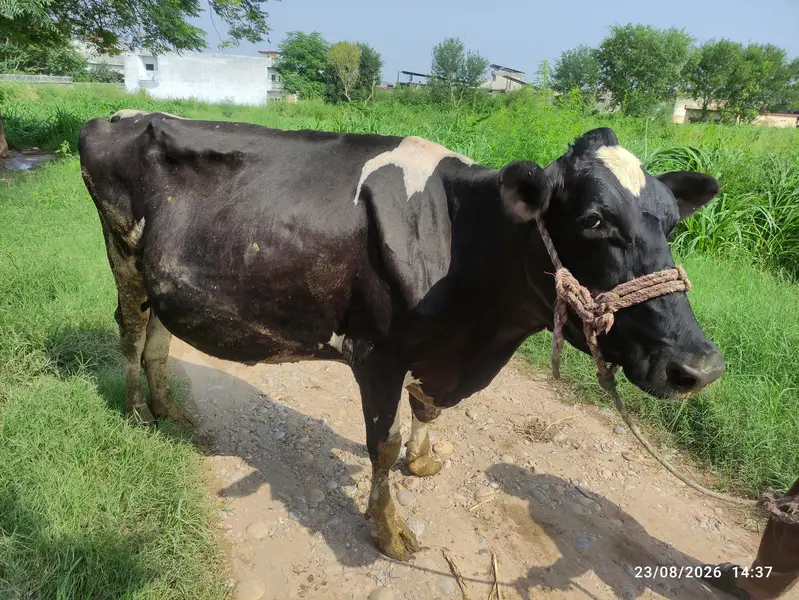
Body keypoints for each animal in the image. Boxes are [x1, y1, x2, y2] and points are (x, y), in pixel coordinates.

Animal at [78, 112, 724, 561]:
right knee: (131, 336)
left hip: (167, 278)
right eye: (593, 221)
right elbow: (380, 445)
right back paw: (137, 413)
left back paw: (171, 413)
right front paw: (389, 529)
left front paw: (425, 459)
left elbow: (428, 410)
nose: (698, 367)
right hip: (124, 257)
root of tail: (113, 116)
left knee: (159, 340)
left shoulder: (438, 356)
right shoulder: (377, 354)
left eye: (672, 223)